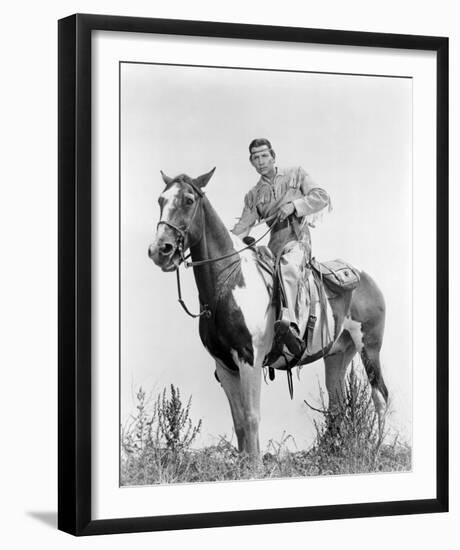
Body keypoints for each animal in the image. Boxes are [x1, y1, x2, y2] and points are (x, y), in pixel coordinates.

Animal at [147, 169, 388, 462]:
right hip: (338, 354)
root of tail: (365, 278)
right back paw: (333, 454)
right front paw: (244, 465)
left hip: (370, 347)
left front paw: (256, 467)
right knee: (337, 404)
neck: (229, 284)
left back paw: (376, 451)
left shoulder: (249, 359)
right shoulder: (224, 365)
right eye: (161, 199)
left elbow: (251, 417)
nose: (160, 250)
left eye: (189, 200)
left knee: (380, 396)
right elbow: (239, 420)